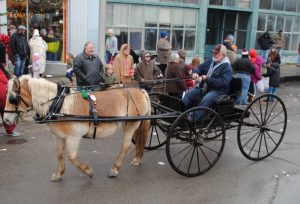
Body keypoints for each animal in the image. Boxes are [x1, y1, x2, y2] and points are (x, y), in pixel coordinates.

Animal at [3, 75, 151, 181]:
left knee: (126, 145)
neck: (58, 104)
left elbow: (72, 157)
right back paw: (137, 158)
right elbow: (59, 154)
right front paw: (59, 174)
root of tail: (140, 91)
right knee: (137, 141)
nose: (6, 119)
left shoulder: (73, 137)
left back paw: (115, 169)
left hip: (130, 124)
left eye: (12, 99)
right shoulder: (57, 136)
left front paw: (88, 171)